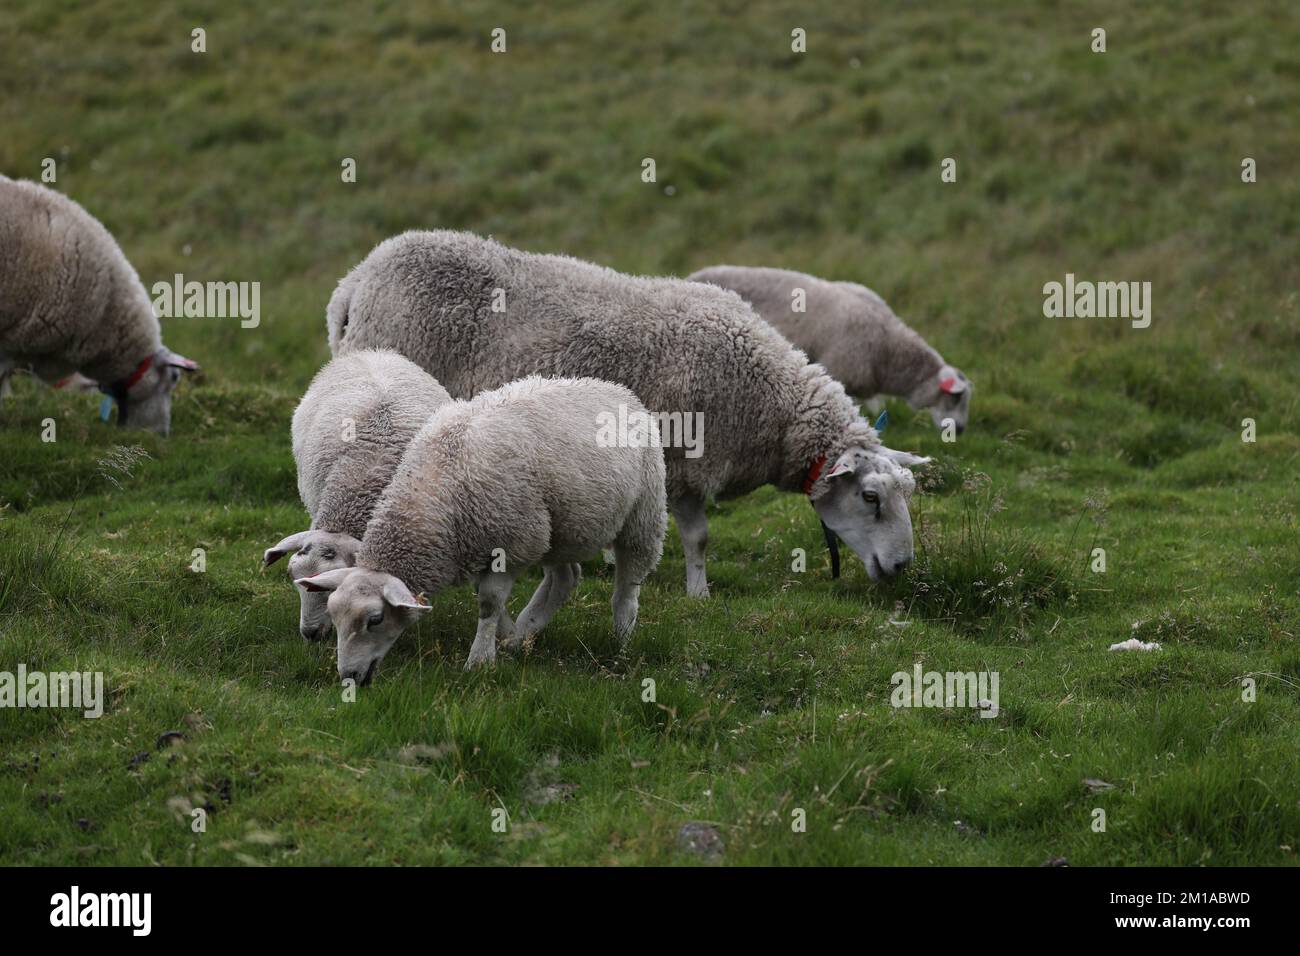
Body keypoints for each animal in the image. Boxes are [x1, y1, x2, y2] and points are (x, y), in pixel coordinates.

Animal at [291, 374, 665, 681]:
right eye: (335, 615)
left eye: (375, 620)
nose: (349, 676)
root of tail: (616, 389)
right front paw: (503, 639)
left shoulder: (510, 546)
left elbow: (488, 603)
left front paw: (480, 660)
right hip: (559, 528)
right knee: (565, 578)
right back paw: (524, 634)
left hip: (643, 514)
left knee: (627, 587)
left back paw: (621, 641)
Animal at [325, 227, 935, 595]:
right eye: (871, 498)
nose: (901, 567)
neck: (769, 400)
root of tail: (355, 280)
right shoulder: (683, 458)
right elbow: (698, 537)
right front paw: (697, 592)